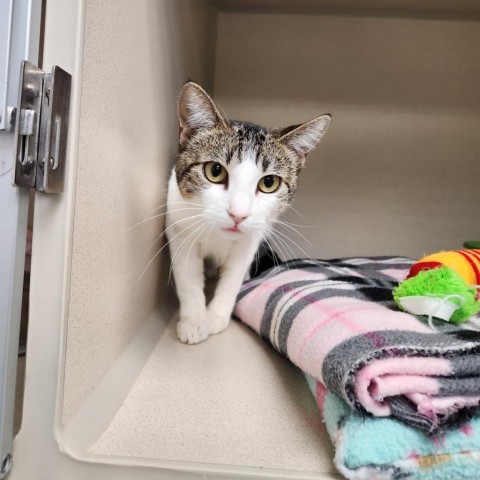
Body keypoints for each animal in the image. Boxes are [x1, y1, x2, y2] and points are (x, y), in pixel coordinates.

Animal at [166, 83, 330, 344]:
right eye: (215, 171)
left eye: (269, 182)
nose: (238, 214)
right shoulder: (179, 226)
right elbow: (188, 278)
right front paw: (195, 321)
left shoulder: (250, 240)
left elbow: (232, 278)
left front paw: (215, 317)